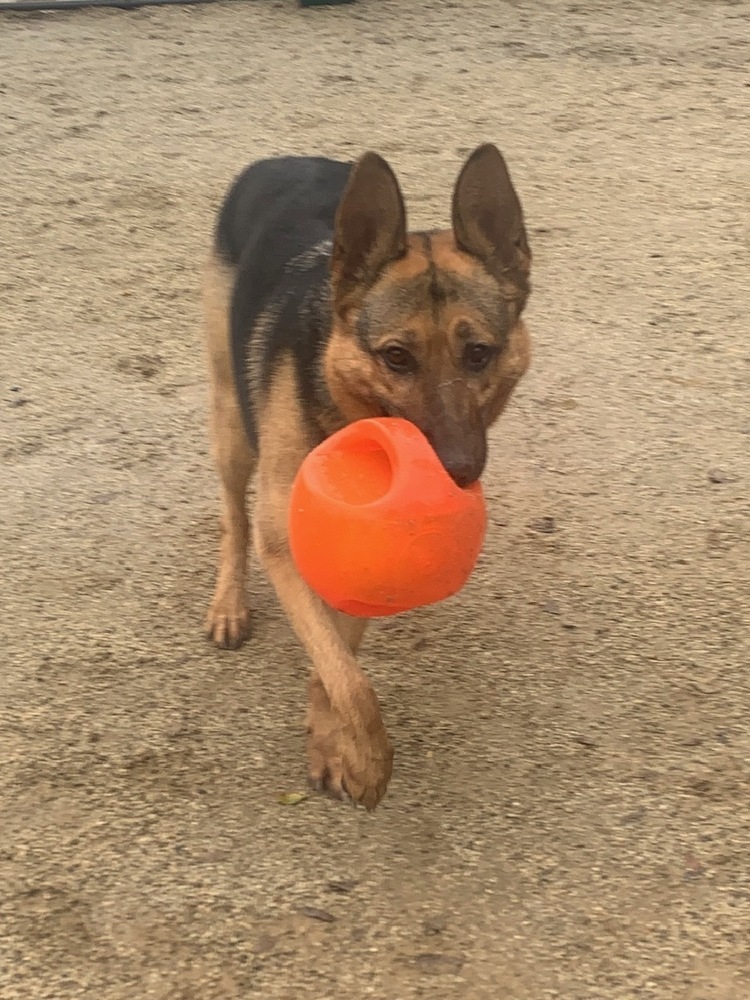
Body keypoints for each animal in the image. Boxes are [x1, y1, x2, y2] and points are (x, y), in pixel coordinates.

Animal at [203, 143, 532, 812]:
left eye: (478, 354)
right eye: (396, 357)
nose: (457, 472)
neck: (344, 409)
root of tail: (277, 160)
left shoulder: (358, 566)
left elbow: (337, 664)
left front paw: (332, 744)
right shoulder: (285, 544)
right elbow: (350, 679)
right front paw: (371, 760)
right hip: (231, 428)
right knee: (233, 518)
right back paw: (228, 604)